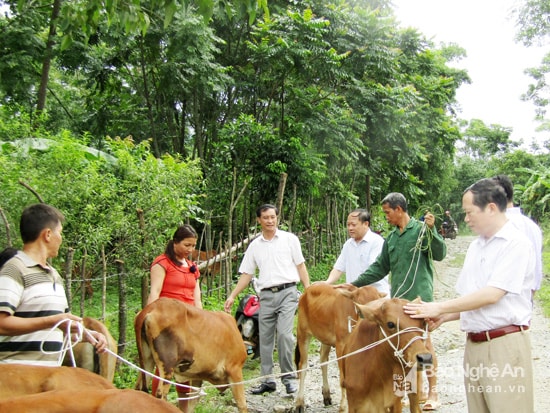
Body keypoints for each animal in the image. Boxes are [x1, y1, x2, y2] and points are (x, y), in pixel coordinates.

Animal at [298, 284, 384, 412]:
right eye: (358, 304)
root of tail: (308, 288)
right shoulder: (341, 346)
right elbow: (343, 378)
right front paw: (343, 406)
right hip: (302, 333)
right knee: (302, 366)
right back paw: (299, 403)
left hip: (325, 338)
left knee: (323, 361)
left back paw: (326, 395)